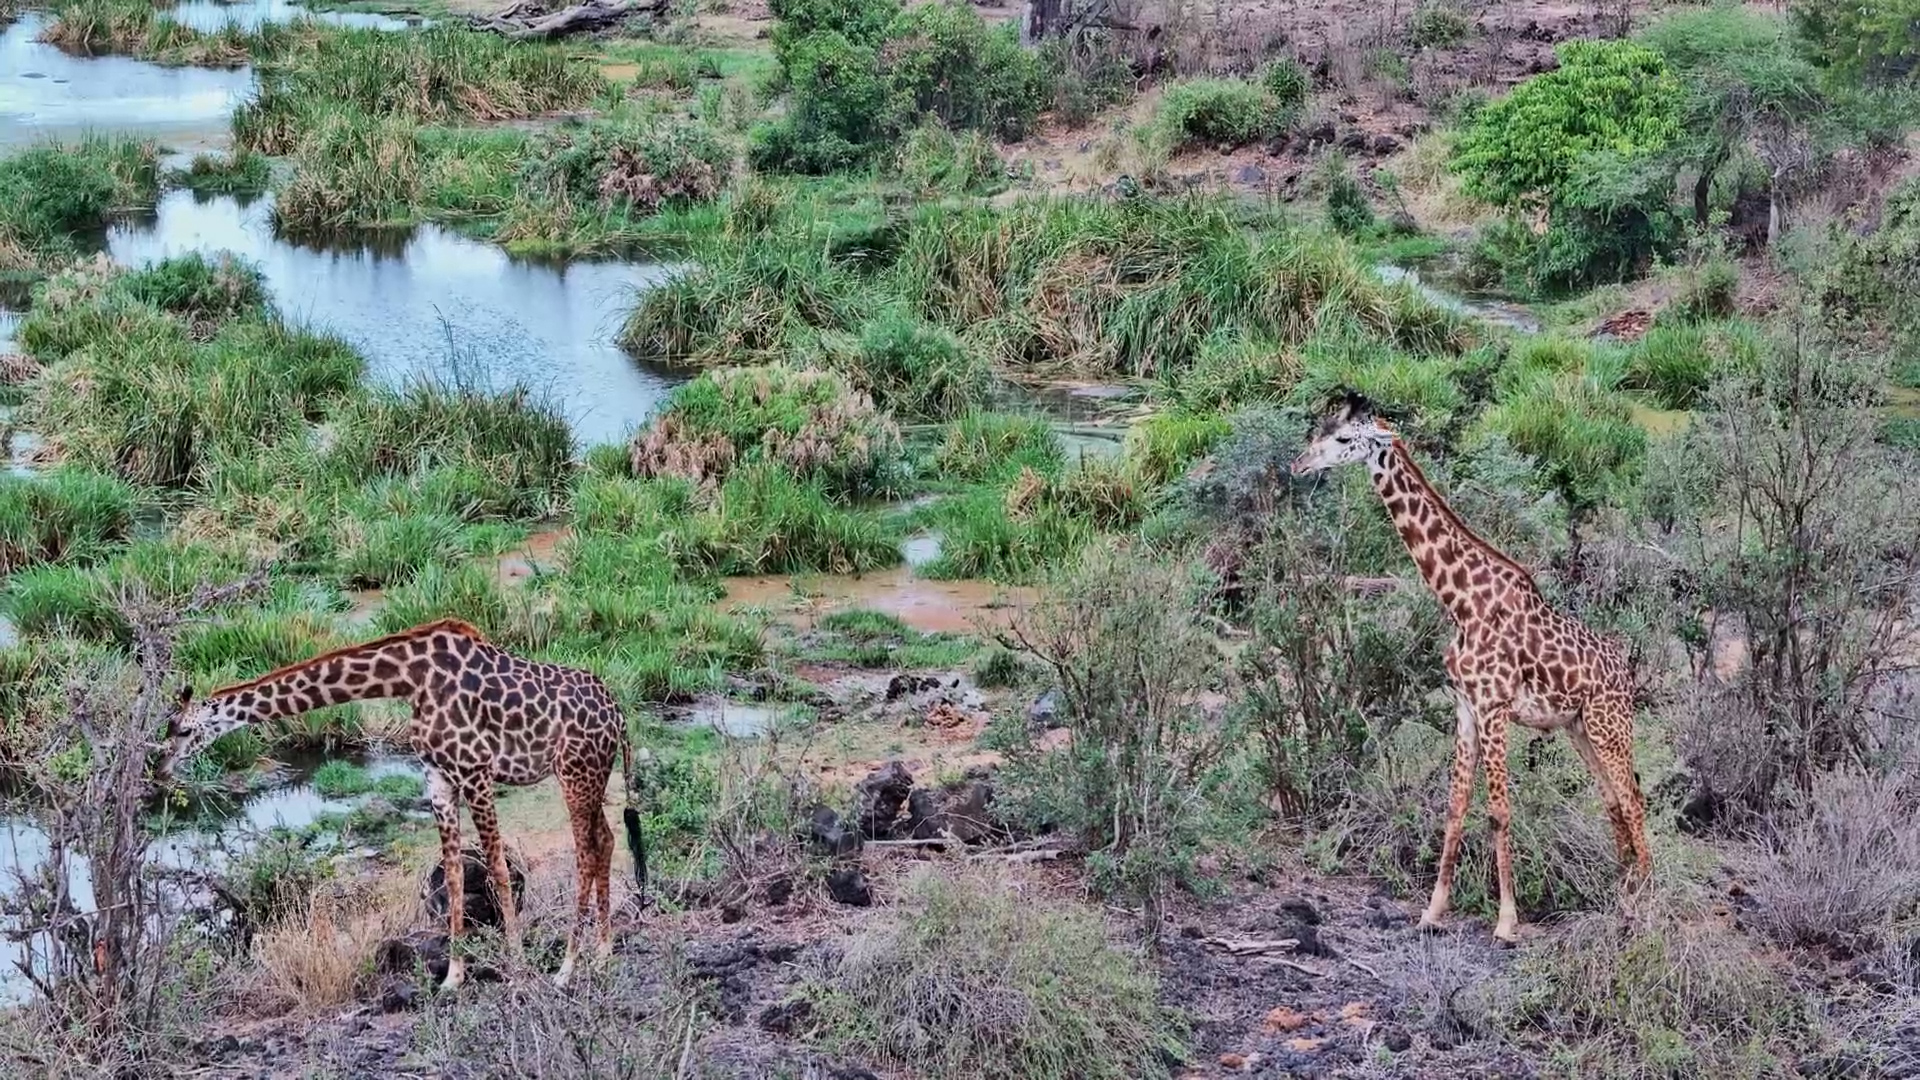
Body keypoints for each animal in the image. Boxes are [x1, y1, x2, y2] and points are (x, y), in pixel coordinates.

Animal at [155, 618, 648, 989]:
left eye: (183, 730)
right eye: (170, 728)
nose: (159, 769)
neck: (408, 679)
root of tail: (620, 715)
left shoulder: (475, 770)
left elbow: (498, 869)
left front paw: (516, 962)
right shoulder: (439, 779)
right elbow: (453, 875)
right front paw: (453, 976)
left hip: (575, 773)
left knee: (586, 851)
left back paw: (568, 967)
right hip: (591, 775)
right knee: (605, 840)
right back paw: (603, 954)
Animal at [1289, 390, 1651, 943]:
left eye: (1344, 438)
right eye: (1318, 430)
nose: (1299, 464)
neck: (1460, 602)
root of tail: (1626, 671)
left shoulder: (1495, 706)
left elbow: (1499, 810)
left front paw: (1506, 922)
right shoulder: (1465, 707)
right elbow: (1455, 805)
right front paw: (1432, 912)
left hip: (1610, 724)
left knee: (1632, 800)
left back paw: (1646, 904)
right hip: (1579, 728)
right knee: (1613, 800)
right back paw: (1621, 898)